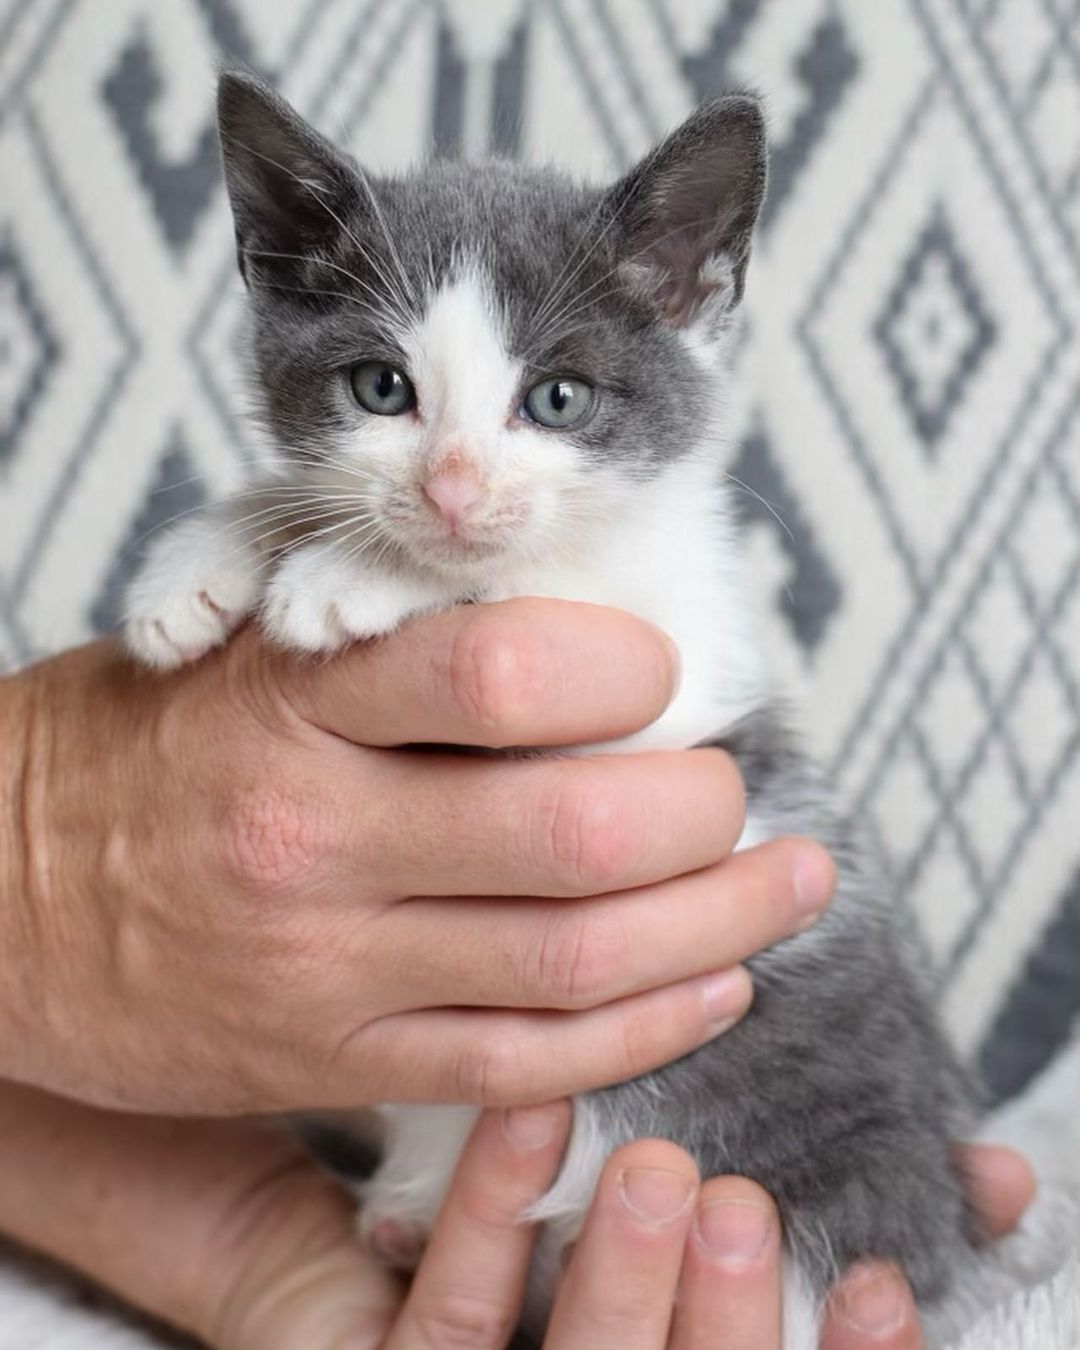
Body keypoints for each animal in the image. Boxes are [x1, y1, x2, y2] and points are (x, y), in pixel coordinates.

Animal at [124, 71, 977, 1350]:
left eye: (558, 398)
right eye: (382, 388)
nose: (452, 489)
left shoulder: (664, 680)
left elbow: (527, 583)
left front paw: (354, 576)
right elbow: (302, 494)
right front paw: (197, 569)